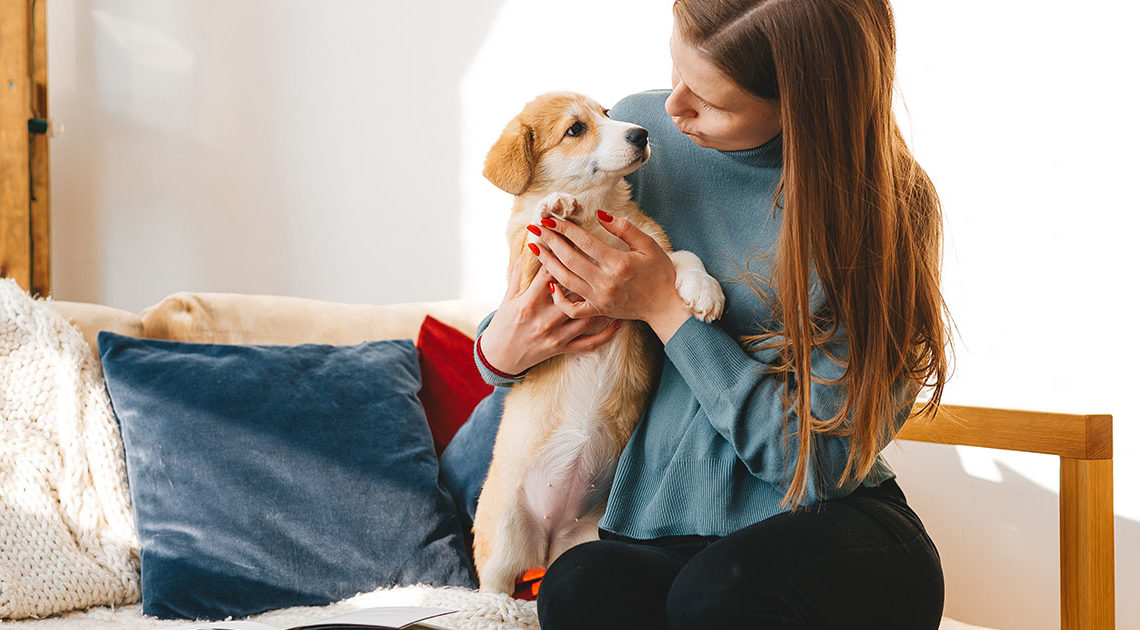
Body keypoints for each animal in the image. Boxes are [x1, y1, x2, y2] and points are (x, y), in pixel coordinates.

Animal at [469, 91, 720, 592]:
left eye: (606, 114)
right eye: (575, 129)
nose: (641, 134)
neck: (597, 212)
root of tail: (546, 541)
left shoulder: (652, 254)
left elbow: (685, 257)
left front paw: (704, 292)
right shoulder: (531, 272)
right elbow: (535, 240)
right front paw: (554, 206)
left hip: (584, 539)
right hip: (502, 534)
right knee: (495, 583)